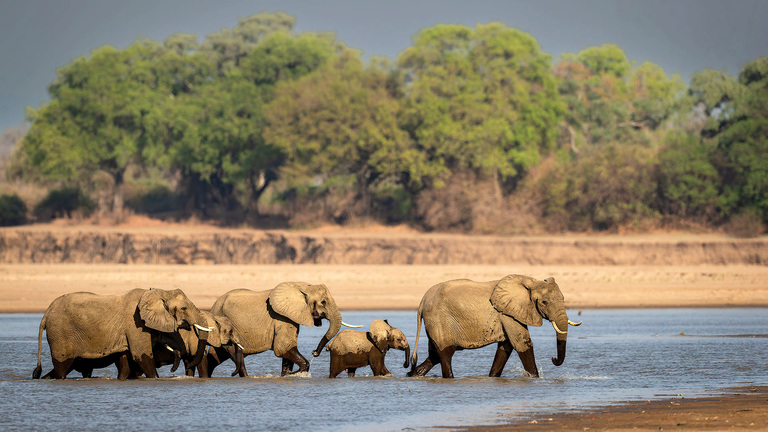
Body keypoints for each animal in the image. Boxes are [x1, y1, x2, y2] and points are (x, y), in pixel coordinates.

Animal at [33, 288, 212, 379]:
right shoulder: (135, 324)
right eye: (184, 308)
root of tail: (45, 313)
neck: (160, 291)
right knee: (62, 367)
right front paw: (155, 379)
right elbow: (142, 357)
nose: (174, 371)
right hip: (60, 334)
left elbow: (125, 361)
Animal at [206, 282, 360, 377]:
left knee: (215, 357)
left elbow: (286, 352)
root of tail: (213, 306)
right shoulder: (281, 317)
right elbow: (283, 348)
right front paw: (295, 373)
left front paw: (286, 375)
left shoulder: (290, 317)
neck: (303, 286)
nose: (315, 352)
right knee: (236, 357)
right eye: (323, 302)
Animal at [407, 275, 581, 379]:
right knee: (445, 353)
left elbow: (506, 346)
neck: (530, 280)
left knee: (435, 354)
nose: (553, 359)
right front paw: (535, 379)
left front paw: (492, 378)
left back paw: (412, 375)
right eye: (544, 302)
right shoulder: (506, 313)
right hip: (439, 319)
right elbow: (522, 343)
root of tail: (422, 301)